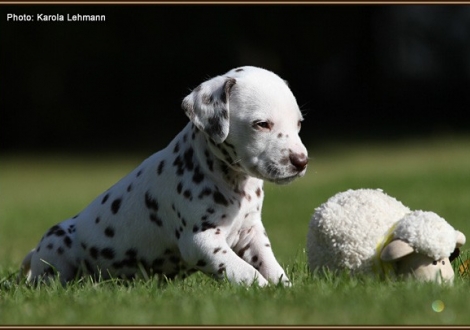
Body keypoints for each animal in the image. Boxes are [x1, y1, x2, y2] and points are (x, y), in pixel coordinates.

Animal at [19, 65, 308, 286]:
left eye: (298, 123)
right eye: (262, 124)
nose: (301, 161)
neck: (233, 182)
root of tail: (35, 251)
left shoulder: (251, 233)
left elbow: (270, 265)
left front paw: (285, 289)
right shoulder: (201, 241)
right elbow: (244, 271)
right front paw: (264, 289)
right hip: (58, 247)